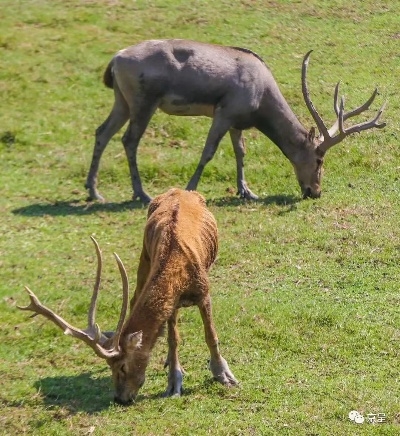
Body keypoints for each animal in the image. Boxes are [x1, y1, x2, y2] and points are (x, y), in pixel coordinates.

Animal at [84, 39, 384, 203]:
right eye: (320, 160)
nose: (315, 192)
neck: (261, 100)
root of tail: (115, 59)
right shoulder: (225, 112)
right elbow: (208, 152)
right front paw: (190, 188)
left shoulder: (238, 121)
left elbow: (241, 152)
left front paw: (247, 191)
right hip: (144, 100)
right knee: (129, 139)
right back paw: (141, 193)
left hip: (122, 100)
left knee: (102, 131)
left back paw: (93, 191)